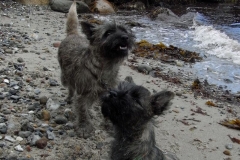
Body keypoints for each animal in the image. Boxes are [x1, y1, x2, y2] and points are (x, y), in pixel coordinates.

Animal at [57, 1, 135, 138]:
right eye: (108, 33)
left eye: (124, 30)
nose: (125, 37)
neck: (104, 68)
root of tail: (73, 34)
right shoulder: (83, 93)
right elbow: (82, 109)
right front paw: (84, 126)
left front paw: (109, 125)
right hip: (65, 77)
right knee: (70, 87)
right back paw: (69, 98)